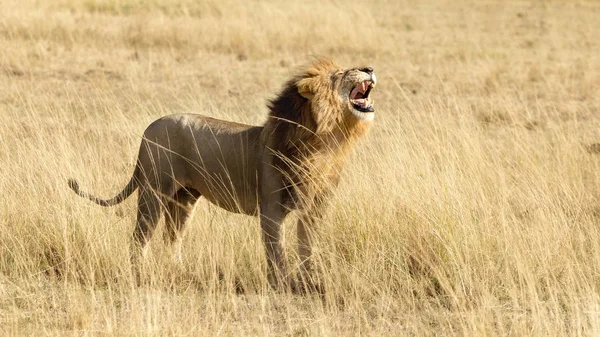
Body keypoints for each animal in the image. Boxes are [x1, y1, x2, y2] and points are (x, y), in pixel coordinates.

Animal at [69, 56, 376, 290]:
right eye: (340, 73)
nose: (370, 68)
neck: (324, 142)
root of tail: (149, 128)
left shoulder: (315, 207)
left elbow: (307, 246)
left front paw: (312, 282)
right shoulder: (271, 207)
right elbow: (276, 249)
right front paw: (283, 284)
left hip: (184, 199)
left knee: (172, 238)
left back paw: (180, 271)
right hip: (153, 193)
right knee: (139, 238)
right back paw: (140, 276)